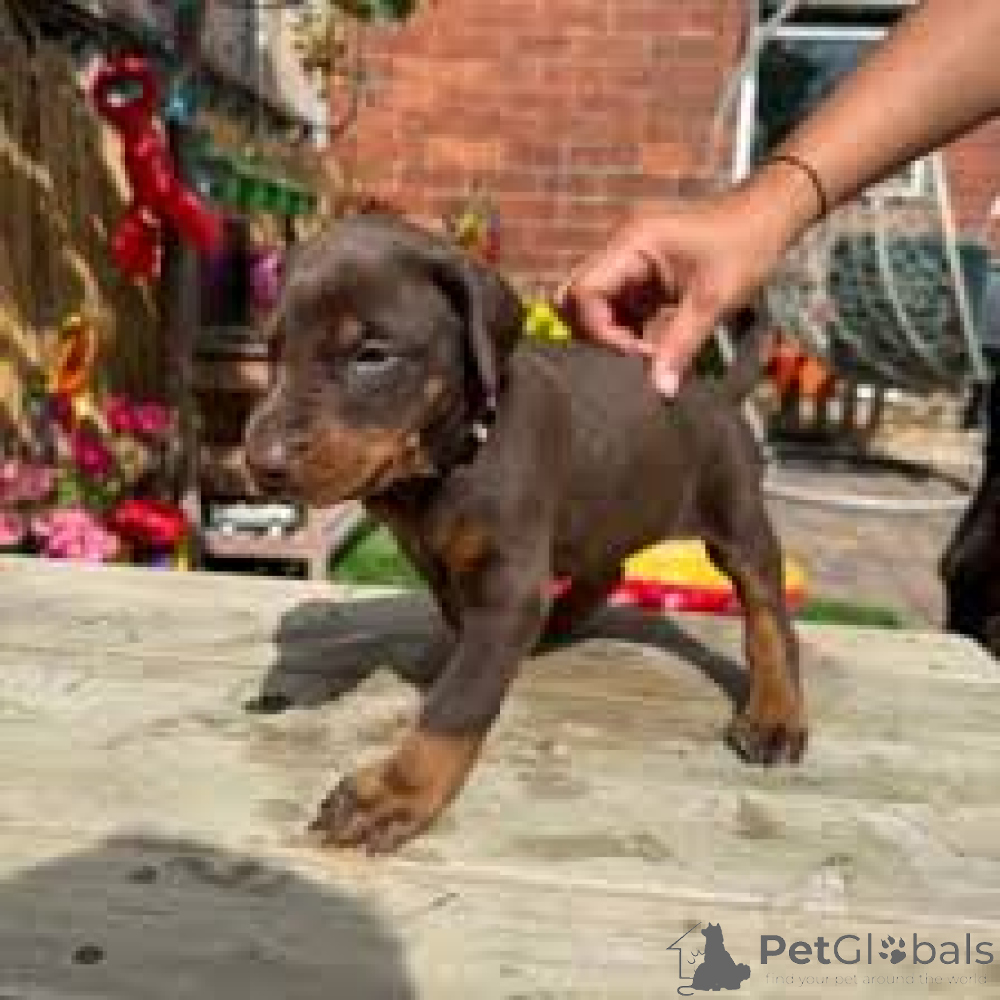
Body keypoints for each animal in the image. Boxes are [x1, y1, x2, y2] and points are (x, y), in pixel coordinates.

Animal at [243, 212, 805, 853]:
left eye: (372, 354)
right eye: (273, 350)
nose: (261, 463)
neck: (452, 460)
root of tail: (716, 390)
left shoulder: (510, 580)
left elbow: (458, 700)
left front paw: (394, 792)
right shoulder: (437, 558)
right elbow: (464, 633)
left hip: (737, 511)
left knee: (767, 612)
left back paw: (776, 712)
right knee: (605, 569)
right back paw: (555, 625)